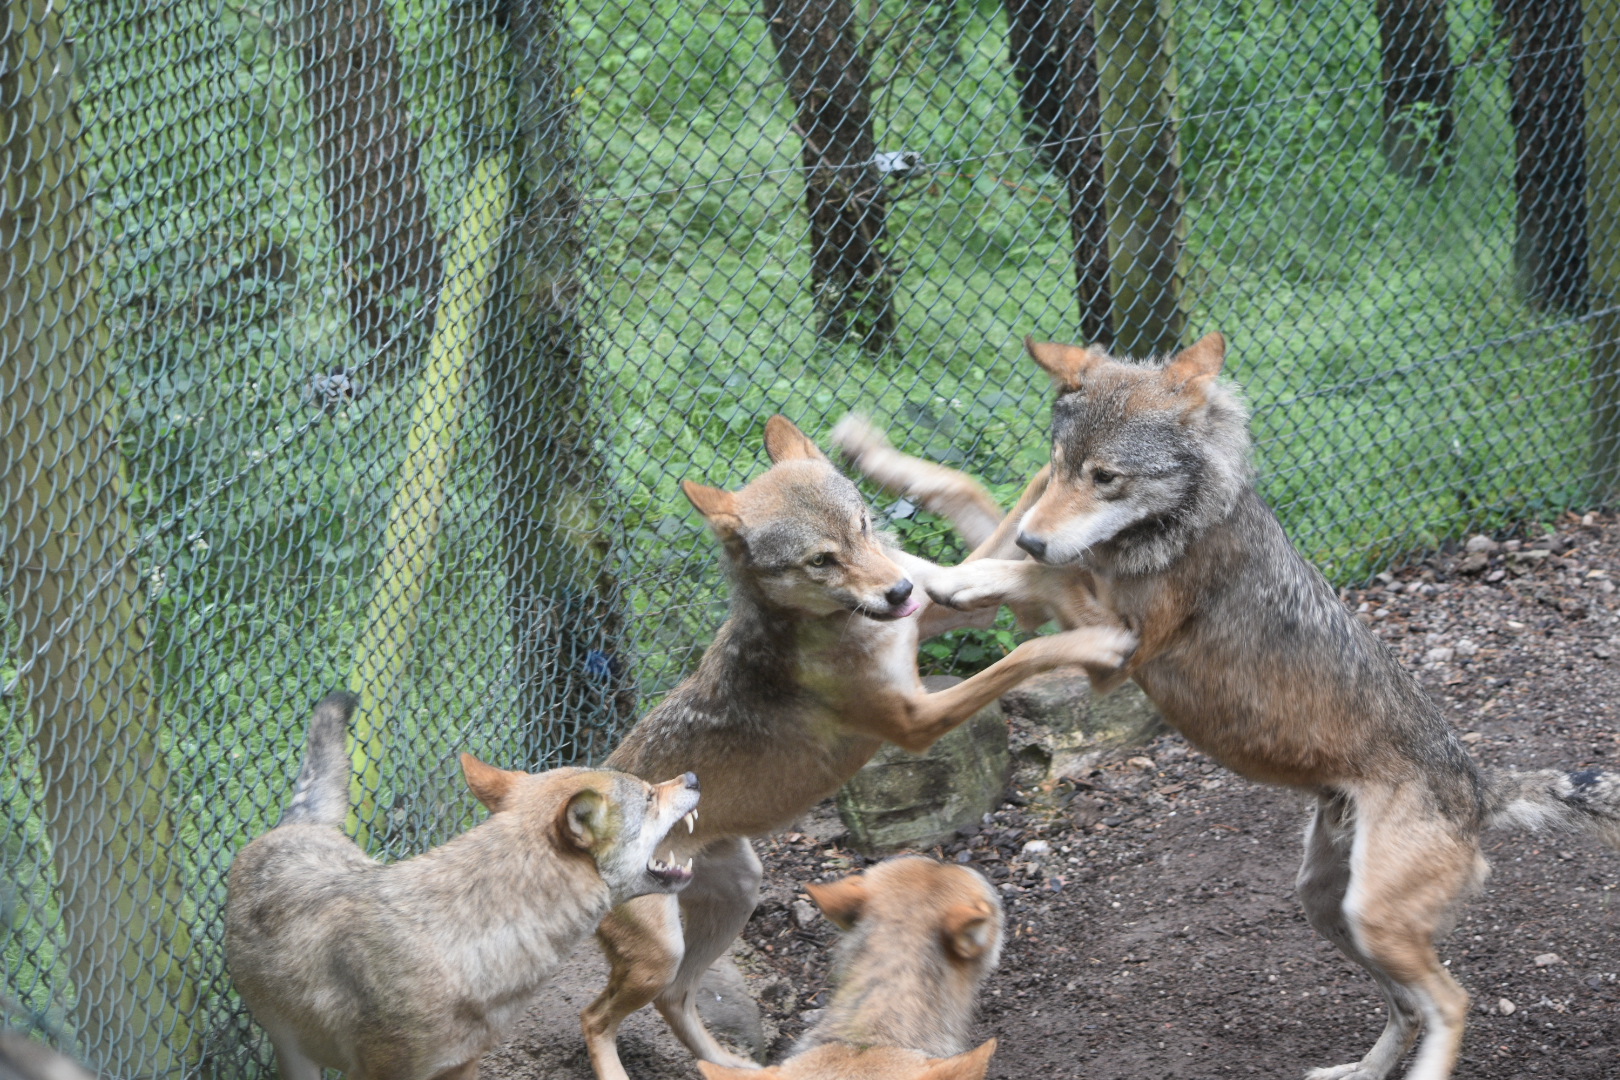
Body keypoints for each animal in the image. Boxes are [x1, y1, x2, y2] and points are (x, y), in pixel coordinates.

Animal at [225, 691, 701, 1080]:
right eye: (649, 796)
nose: (693, 778)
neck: (467, 947)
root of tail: (296, 826)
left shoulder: (464, 1064)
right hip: (296, 1056)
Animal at [581, 416, 1135, 1080]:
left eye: (864, 526)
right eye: (821, 560)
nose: (897, 590)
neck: (844, 626)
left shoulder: (933, 617)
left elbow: (973, 495)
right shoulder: (915, 720)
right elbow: (1021, 655)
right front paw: (1100, 643)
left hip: (736, 894)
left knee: (677, 998)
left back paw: (740, 1066)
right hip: (662, 949)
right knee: (597, 1016)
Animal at [839, 334, 1620, 1080]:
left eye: (1106, 477)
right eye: (1060, 464)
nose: (1035, 534)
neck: (1172, 524)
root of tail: (1481, 787)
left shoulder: (1113, 644)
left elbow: (1024, 574)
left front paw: (941, 575)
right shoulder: (1044, 571)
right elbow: (968, 492)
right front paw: (878, 468)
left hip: (1372, 915)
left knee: (1453, 1001)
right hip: (1327, 905)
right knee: (1409, 1008)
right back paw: (1358, 1073)